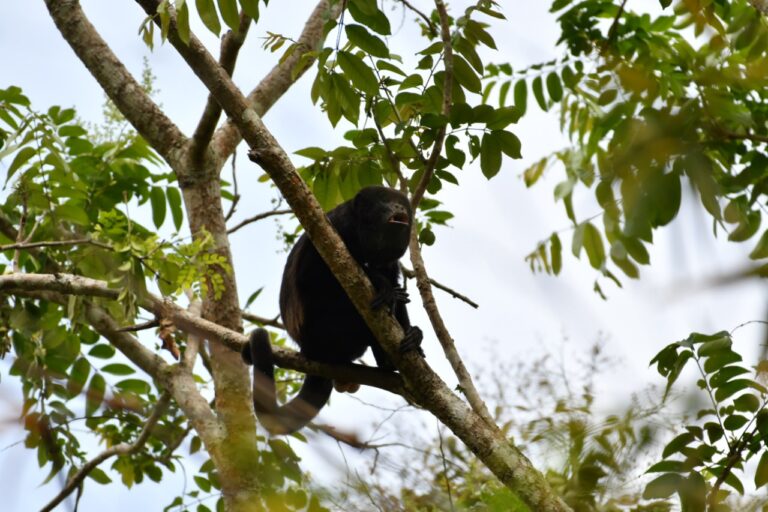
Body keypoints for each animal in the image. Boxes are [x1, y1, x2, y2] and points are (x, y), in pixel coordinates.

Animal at [242, 186, 424, 434]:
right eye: (386, 203)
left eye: (401, 203)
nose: (399, 207)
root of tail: (309, 349)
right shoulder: (336, 227)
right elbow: (313, 274)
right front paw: (381, 283)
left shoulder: (390, 261)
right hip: (327, 329)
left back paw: (407, 343)